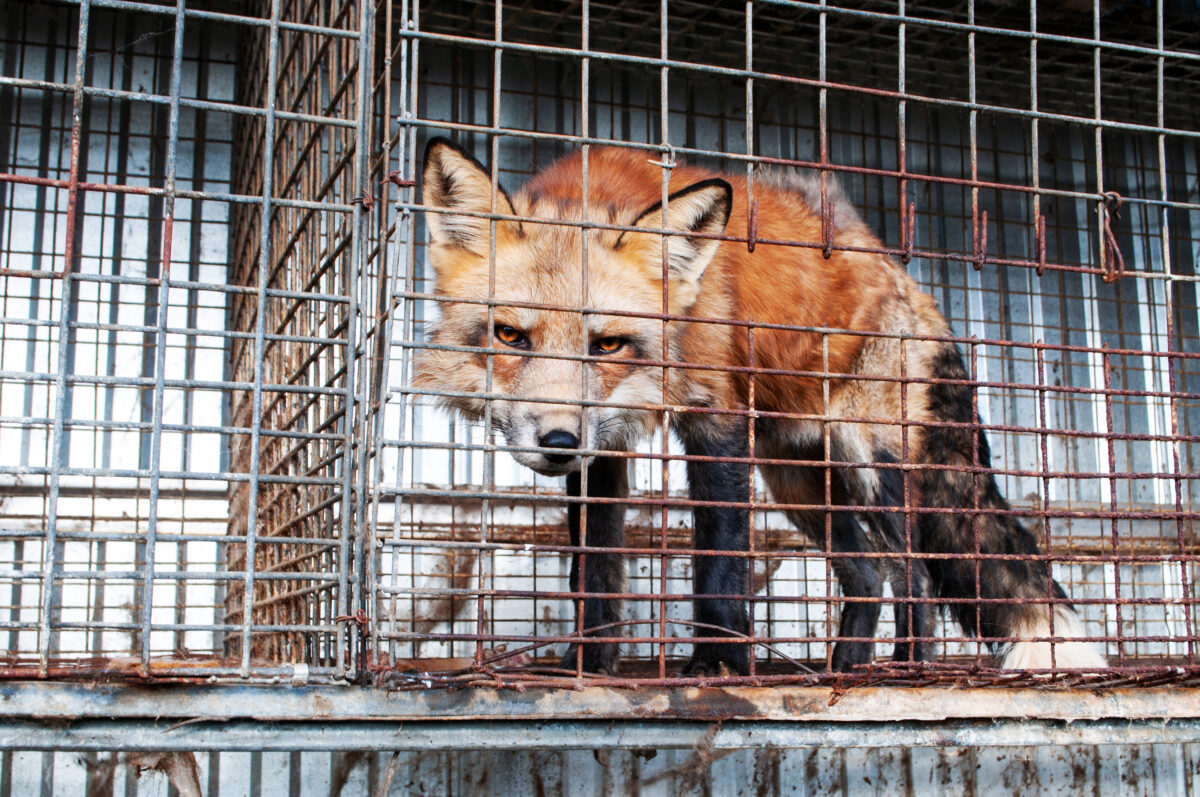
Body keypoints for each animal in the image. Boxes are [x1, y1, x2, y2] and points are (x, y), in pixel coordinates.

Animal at [414, 137, 1108, 677]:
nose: (558, 444)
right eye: (510, 335)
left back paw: (906, 665)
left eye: (606, 344)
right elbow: (596, 571)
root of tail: (897, 270)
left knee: (913, 574)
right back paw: (845, 665)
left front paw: (719, 665)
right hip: (798, 483)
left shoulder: (717, 424)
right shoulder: (603, 445)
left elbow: (719, 565)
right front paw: (588, 665)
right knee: (869, 574)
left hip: (873, 466)